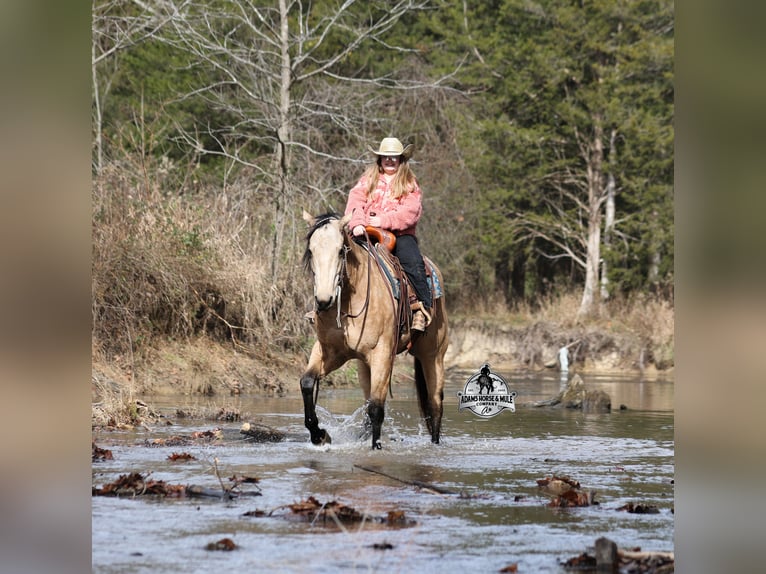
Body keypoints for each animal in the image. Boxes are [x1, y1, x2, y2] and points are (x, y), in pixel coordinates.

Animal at [300, 211, 449, 449]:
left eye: (340, 250)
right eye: (311, 250)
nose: (324, 300)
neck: (350, 303)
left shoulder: (382, 355)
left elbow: (377, 408)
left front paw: (376, 447)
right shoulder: (329, 353)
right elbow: (306, 382)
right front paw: (319, 434)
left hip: (433, 356)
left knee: (435, 406)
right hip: (364, 365)